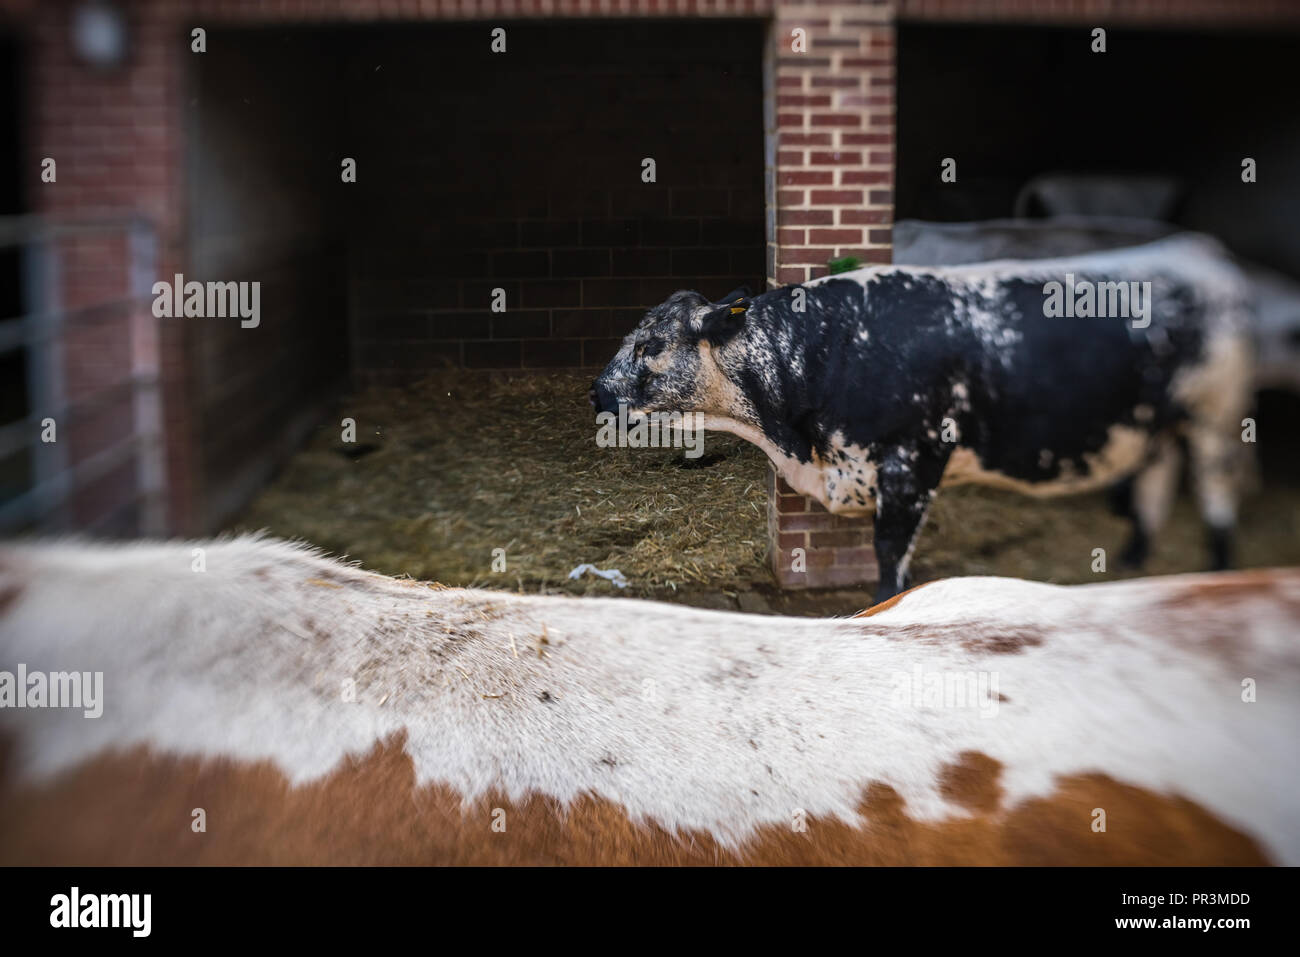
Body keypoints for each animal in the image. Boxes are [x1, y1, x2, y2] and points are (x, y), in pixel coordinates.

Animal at [591, 235, 1254, 601]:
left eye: (651, 344)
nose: (596, 392)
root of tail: (1196, 252)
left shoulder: (912, 462)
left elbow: (889, 557)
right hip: (1158, 421)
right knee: (1157, 479)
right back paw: (1136, 567)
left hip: (1216, 418)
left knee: (1217, 498)